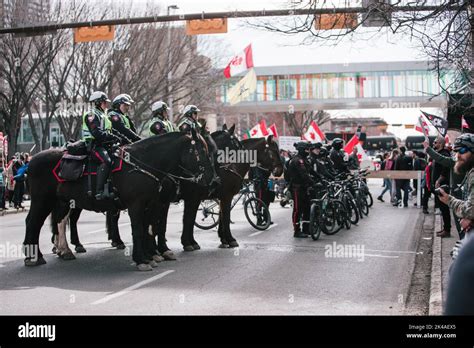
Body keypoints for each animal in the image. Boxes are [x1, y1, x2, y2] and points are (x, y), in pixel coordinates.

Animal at [23, 132, 214, 270]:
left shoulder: (153, 203)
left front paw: (152, 255)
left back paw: (63, 251)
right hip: (42, 200)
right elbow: (140, 230)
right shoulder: (138, 205)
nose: (209, 180)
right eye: (202, 151)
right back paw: (34, 257)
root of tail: (32, 160)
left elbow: (150, 228)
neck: (143, 163)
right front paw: (143, 259)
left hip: (63, 201)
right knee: (33, 223)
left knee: (59, 222)